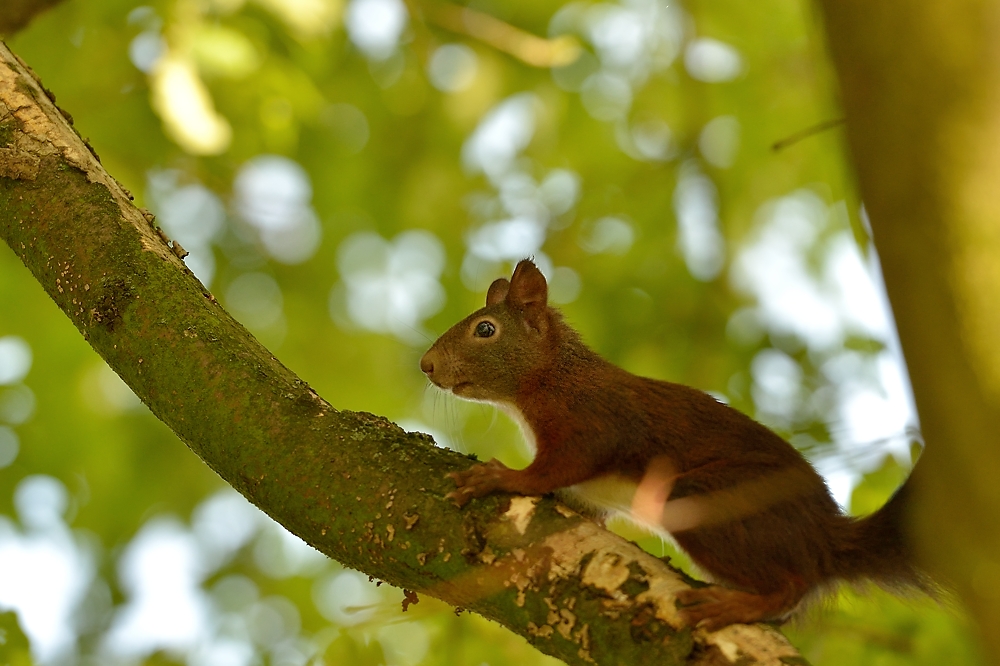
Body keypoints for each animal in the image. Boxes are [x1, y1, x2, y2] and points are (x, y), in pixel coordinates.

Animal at [416, 258, 928, 628]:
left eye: (485, 329)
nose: (426, 365)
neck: (549, 378)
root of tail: (826, 535)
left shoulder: (594, 421)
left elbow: (558, 467)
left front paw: (500, 476)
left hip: (714, 499)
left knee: (794, 584)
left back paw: (737, 607)